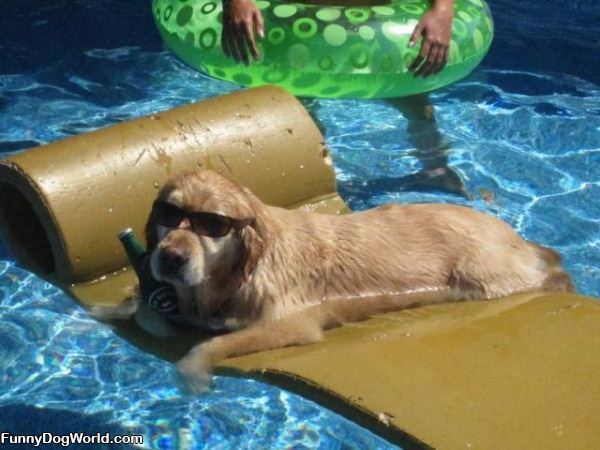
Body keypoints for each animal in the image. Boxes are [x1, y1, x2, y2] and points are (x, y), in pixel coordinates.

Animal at [139, 169, 572, 390]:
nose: (171, 257)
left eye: (212, 225)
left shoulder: (291, 323)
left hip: (484, 275)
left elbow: (209, 344)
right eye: (167, 215)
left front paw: (192, 371)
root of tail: (516, 237)